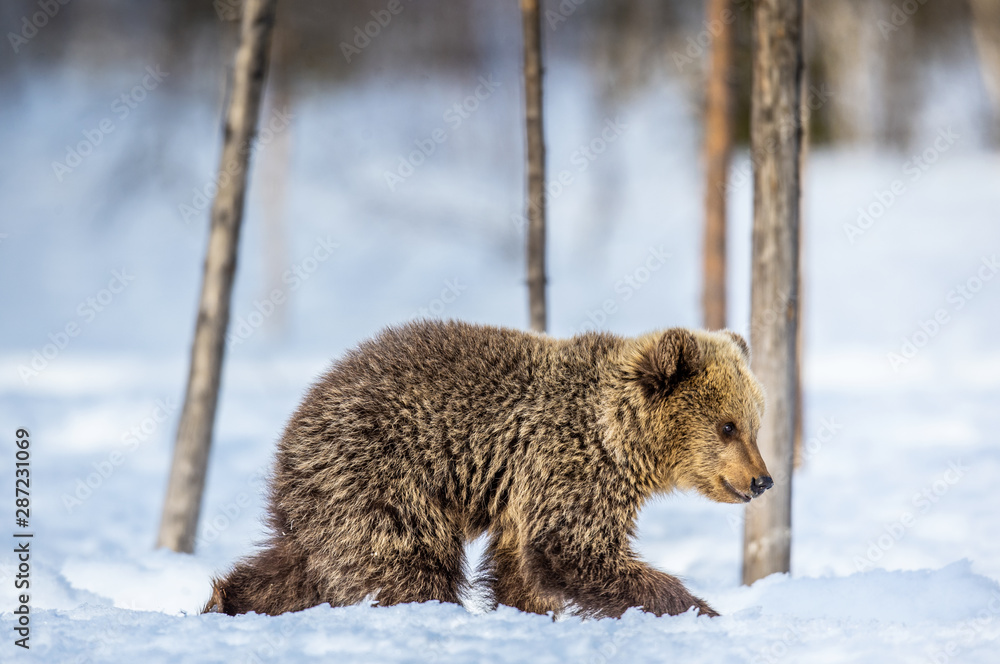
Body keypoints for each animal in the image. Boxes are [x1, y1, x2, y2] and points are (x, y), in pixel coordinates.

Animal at [204, 319, 771, 618]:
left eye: (755, 423)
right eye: (727, 425)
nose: (762, 480)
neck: (618, 437)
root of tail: (294, 431)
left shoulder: (523, 491)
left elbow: (521, 567)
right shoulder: (569, 466)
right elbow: (574, 550)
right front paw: (699, 608)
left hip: (328, 505)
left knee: (292, 568)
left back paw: (224, 599)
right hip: (380, 480)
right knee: (402, 565)